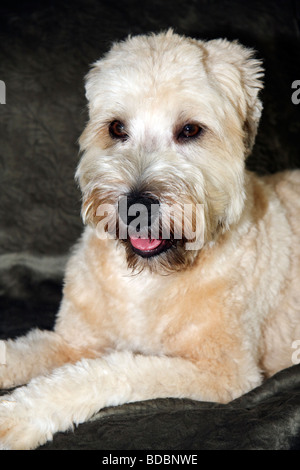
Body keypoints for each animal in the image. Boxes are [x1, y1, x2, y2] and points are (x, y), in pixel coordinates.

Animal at [0, 30, 300, 452]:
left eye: (190, 130)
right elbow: (24, 350)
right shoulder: (74, 341)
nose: (134, 207)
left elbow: (106, 371)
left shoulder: (223, 373)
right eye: (116, 128)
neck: (146, 280)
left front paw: (17, 416)